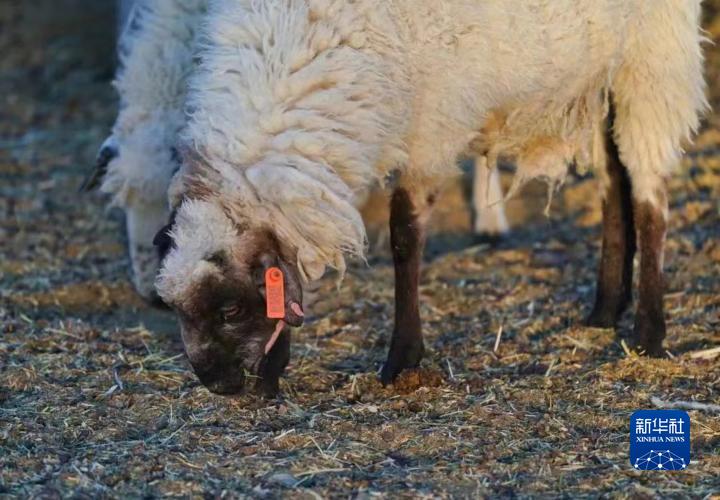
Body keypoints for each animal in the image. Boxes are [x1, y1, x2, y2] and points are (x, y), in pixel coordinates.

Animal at [152, 0, 707, 395]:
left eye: (230, 310)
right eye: (173, 308)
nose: (219, 387)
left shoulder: (429, 130)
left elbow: (405, 237)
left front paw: (402, 360)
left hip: (650, 65)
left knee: (650, 194)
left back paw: (649, 334)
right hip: (597, 81)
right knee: (615, 182)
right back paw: (604, 310)